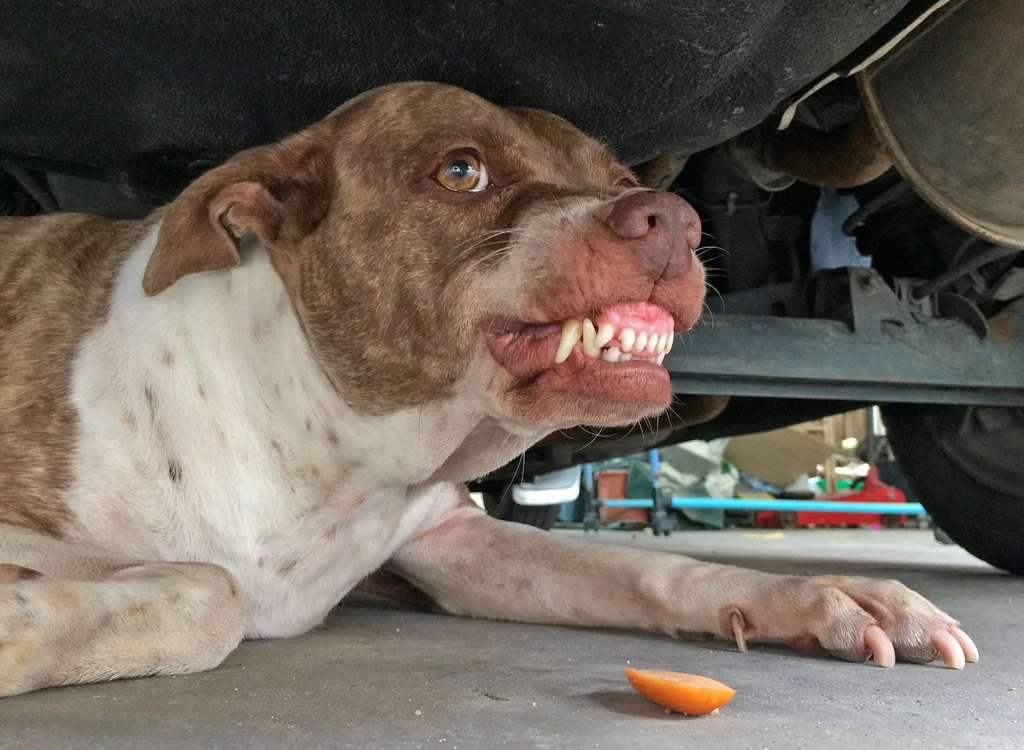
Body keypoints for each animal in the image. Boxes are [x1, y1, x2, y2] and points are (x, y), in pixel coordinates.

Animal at [0, 83, 974, 696]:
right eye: (460, 169)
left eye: (624, 181)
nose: (673, 219)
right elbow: (212, 592)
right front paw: (19, 626)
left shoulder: (452, 540)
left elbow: (644, 566)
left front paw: (821, 597)